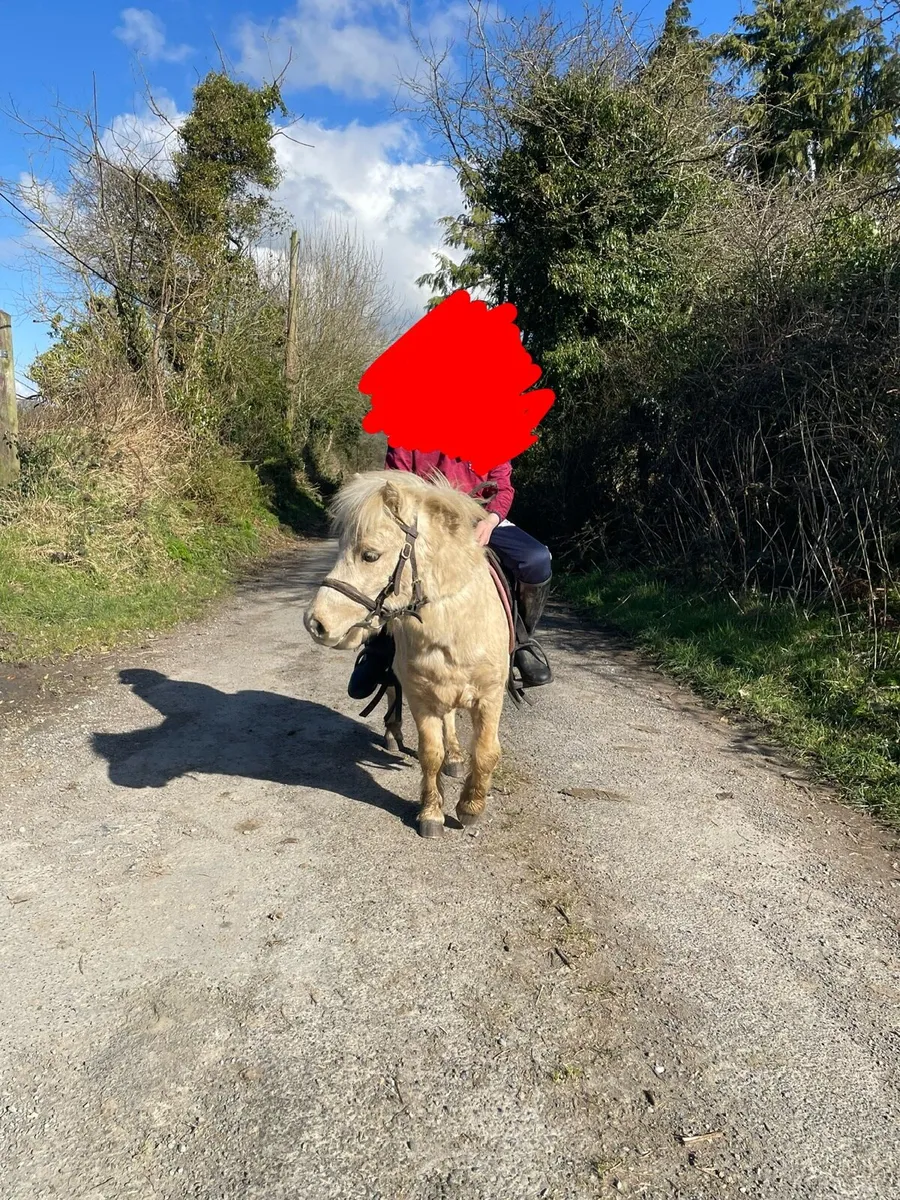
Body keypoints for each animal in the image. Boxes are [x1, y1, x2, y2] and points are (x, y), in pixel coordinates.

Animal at [303, 470, 511, 838]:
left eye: (370, 555)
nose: (315, 623)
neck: (454, 629)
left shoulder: (489, 695)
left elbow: (486, 752)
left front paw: (470, 808)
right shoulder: (420, 696)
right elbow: (430, 754)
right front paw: (431, 814)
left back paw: (455, 757)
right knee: (392, 693)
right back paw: (393, 733)